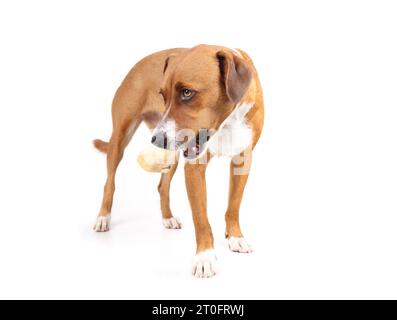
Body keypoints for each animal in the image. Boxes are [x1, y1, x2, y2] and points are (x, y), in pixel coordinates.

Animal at [93, 45, 264, 278]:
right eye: (162, 95)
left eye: (187, 93)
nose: (156, 139)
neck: (226, 124)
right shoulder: (195, 168)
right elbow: (201, 219)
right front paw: (205, 257)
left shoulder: (242, 162)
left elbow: (233, 205)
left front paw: (235, 237)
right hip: (120, 138)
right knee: (109, 182)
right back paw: (103, 217)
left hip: (171, 154)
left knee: (162, 186)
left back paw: (168, 218)